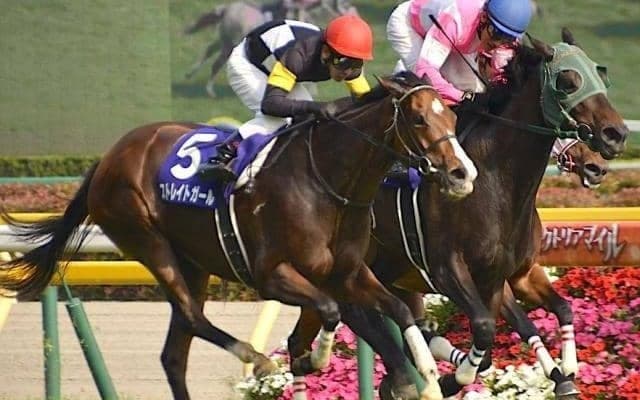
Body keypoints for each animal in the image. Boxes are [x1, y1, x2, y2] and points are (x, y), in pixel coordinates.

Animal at [0, 71, 476, 400]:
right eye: (418, 118)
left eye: (453, 116)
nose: (461, 174)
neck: (326, 181)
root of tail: (107, 158)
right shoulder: (271, 276)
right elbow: (329, 309)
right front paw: (316, 357)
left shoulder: (349, 272)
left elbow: (399, 310)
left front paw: (428, 377)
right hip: (147, 240)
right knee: (193, 318)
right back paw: (260, 361)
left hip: (192, 263)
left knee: (174, 354)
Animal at [183, 0, 357, 97]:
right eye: (346, 5)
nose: (357, 18)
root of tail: (227, 8)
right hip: (229, 43)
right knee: (216, 62)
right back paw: (209, 90)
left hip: (226, 39)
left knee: (209, 50)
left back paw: (191, 75)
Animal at [289, 30, 627, 400]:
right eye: (567, 81)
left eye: (600, 75)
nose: (616, 135)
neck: (496, 180)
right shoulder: (446, 269)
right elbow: (484, 330)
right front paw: (449, 378)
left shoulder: (508, 275)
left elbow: (539, 317)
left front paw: (565, 374)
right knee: (351, 315)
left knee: (308, 335)